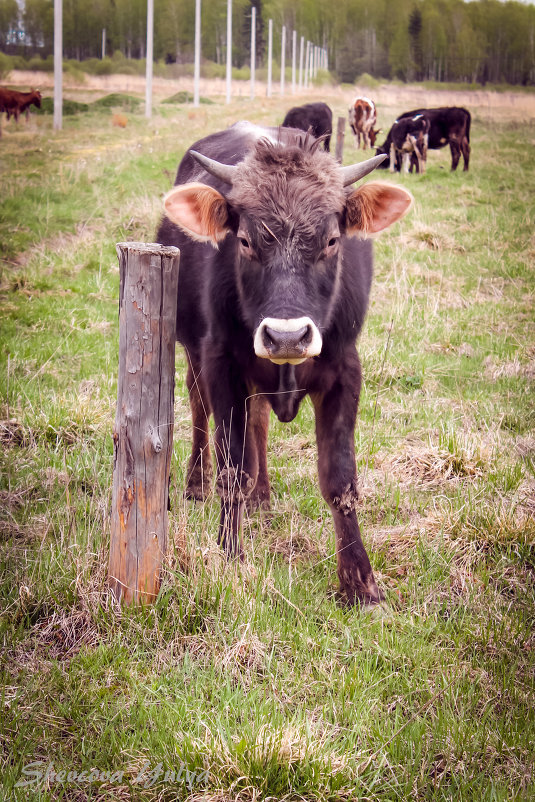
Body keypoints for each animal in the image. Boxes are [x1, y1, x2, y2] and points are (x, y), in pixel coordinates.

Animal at [157, 120, 412, 608]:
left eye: (332, 241)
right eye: (244, 241)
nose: (288, 336)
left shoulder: (345, 370)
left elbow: (340, 480)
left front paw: (360, 583)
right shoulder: (221, 364)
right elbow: (232, 467)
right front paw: (230, 554)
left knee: (258, 420)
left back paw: (263, 496)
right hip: (192, 350)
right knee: (199, 411)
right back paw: (197, 483)